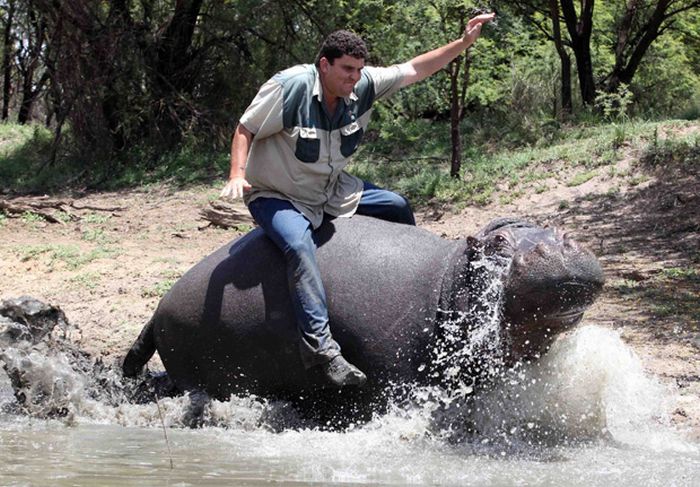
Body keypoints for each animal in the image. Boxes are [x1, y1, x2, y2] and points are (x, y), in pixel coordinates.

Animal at [123, 217, 604, 424]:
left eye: (556, 228)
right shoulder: (396, 376)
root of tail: (156, 309)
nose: (556, 245)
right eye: (499, 241)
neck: (446, 284)